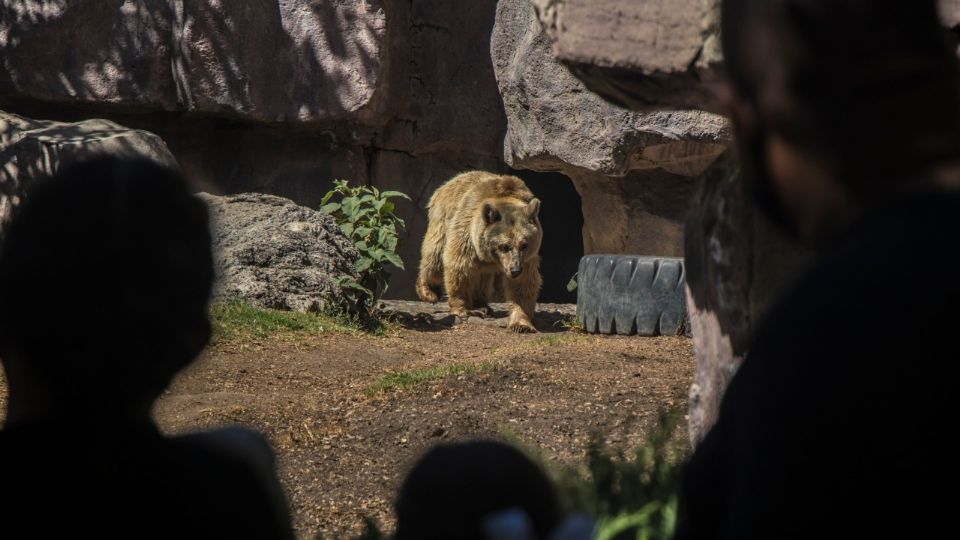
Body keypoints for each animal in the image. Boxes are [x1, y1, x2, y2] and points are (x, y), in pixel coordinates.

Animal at [416, 173, 544, 334]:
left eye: (524, 245)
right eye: (504, 246)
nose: (515, 270)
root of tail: (448, 183)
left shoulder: (527, 258)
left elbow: (523, 284)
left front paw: (521, 324)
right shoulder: (467, 231)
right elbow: (460, 265)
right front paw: (464, 308)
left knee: (482, 277)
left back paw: (482, 304)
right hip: (443, 219)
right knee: (435, 257)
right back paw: (429, 291)